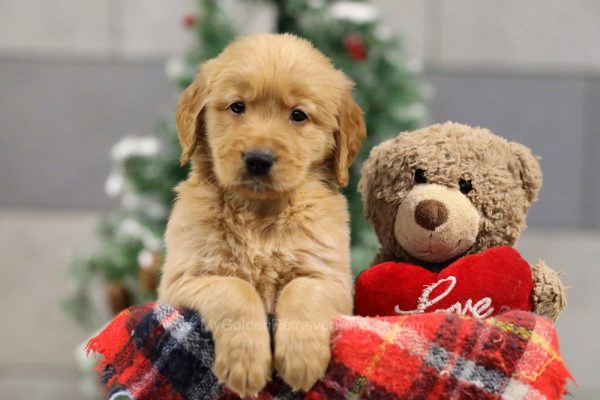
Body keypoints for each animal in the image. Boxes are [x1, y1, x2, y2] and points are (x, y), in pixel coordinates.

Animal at [158, 32, 366, 396]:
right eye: (237, 106)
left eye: (298, 115)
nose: (258, 159)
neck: (258, 213)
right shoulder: (181, 281)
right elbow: (234, 289)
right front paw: (245, 364)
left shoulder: (331, 278)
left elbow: (301, 291)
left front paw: (301, 359)